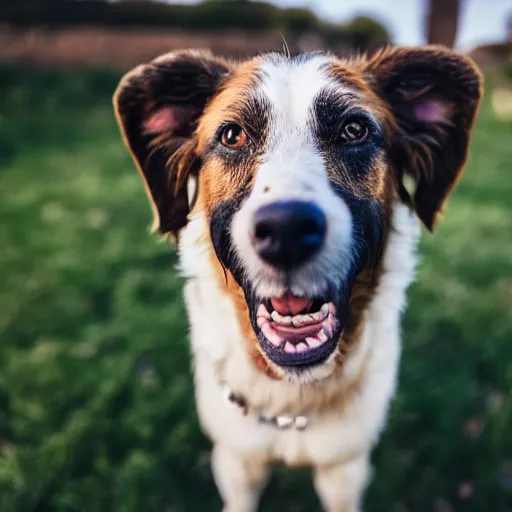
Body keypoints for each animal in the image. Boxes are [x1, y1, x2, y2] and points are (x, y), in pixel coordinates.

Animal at [113, 46, 484, 510]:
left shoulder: (345, 469)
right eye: (231, 136)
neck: (292, 401)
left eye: (354, 130)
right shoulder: (236, 461)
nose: (286, 230)